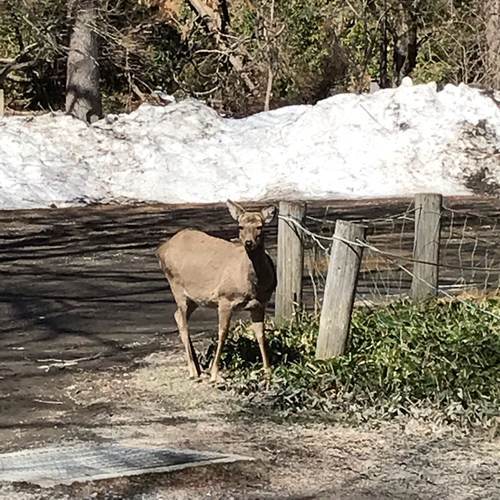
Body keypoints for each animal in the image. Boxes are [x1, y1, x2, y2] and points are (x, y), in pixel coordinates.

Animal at [156, 201, 278, 380]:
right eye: (240, 226)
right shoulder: (225, 298)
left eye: (260, 226)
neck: (253, 285)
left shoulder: (260, 303)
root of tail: (161, 249)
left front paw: (268, 370)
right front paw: (215, 373)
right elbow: (222, 333)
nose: (248, 243)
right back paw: (193, 371)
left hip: (194, 298)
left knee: (177, 316)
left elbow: (261, 334)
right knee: (183, 322)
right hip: (176, 286)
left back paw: (198, 367)